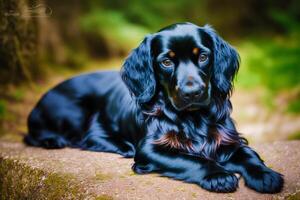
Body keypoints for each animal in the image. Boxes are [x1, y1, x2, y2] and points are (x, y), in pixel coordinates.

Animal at [24, 22, 284, 193]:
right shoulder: (151, 149)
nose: (193, 93)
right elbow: (193, 159)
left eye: (203, 57)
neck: (193, 118)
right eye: (166, 61)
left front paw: (265, 175)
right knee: (34, 135)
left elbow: (249, 154)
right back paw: (54, 140)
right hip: (70, 113)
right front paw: (218, 174)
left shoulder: (227, 140)